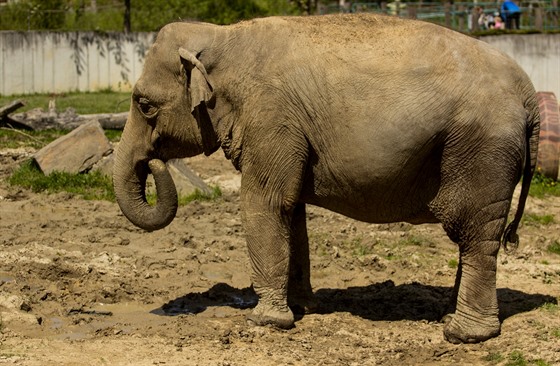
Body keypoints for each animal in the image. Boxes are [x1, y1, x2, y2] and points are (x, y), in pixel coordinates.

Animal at [112, 12, 540, 344]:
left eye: (144, 105)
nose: (153, 163)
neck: (222, 36)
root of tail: (530, 93)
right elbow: (291, 211)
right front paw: (303, 307)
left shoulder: (271, 117)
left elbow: (263, 203)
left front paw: (264, 321)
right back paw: (449, 316)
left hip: (483, 150)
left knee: (475, 234)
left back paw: (463, 334)